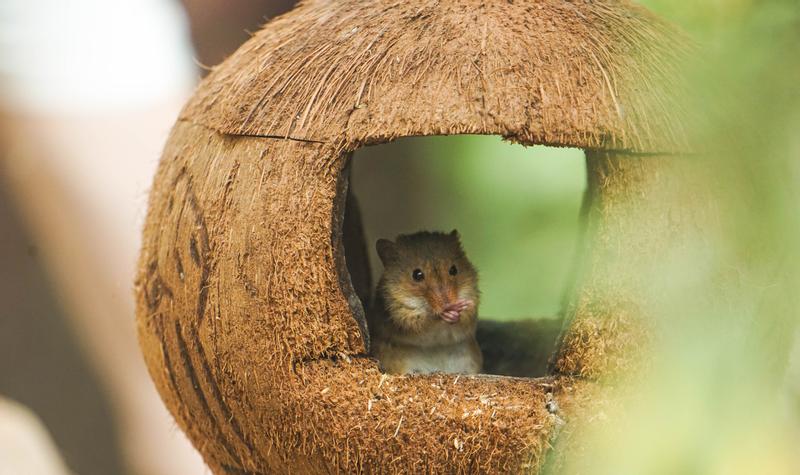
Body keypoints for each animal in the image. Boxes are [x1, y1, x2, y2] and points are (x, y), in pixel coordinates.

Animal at [368, 231, 482, 376]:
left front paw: (456, 312)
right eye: (417, 275)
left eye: (454, 270)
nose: (448, 304)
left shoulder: (471, 302)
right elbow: (424, 322)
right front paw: (443, 314)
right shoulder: (400, 315)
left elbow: (466, 316)